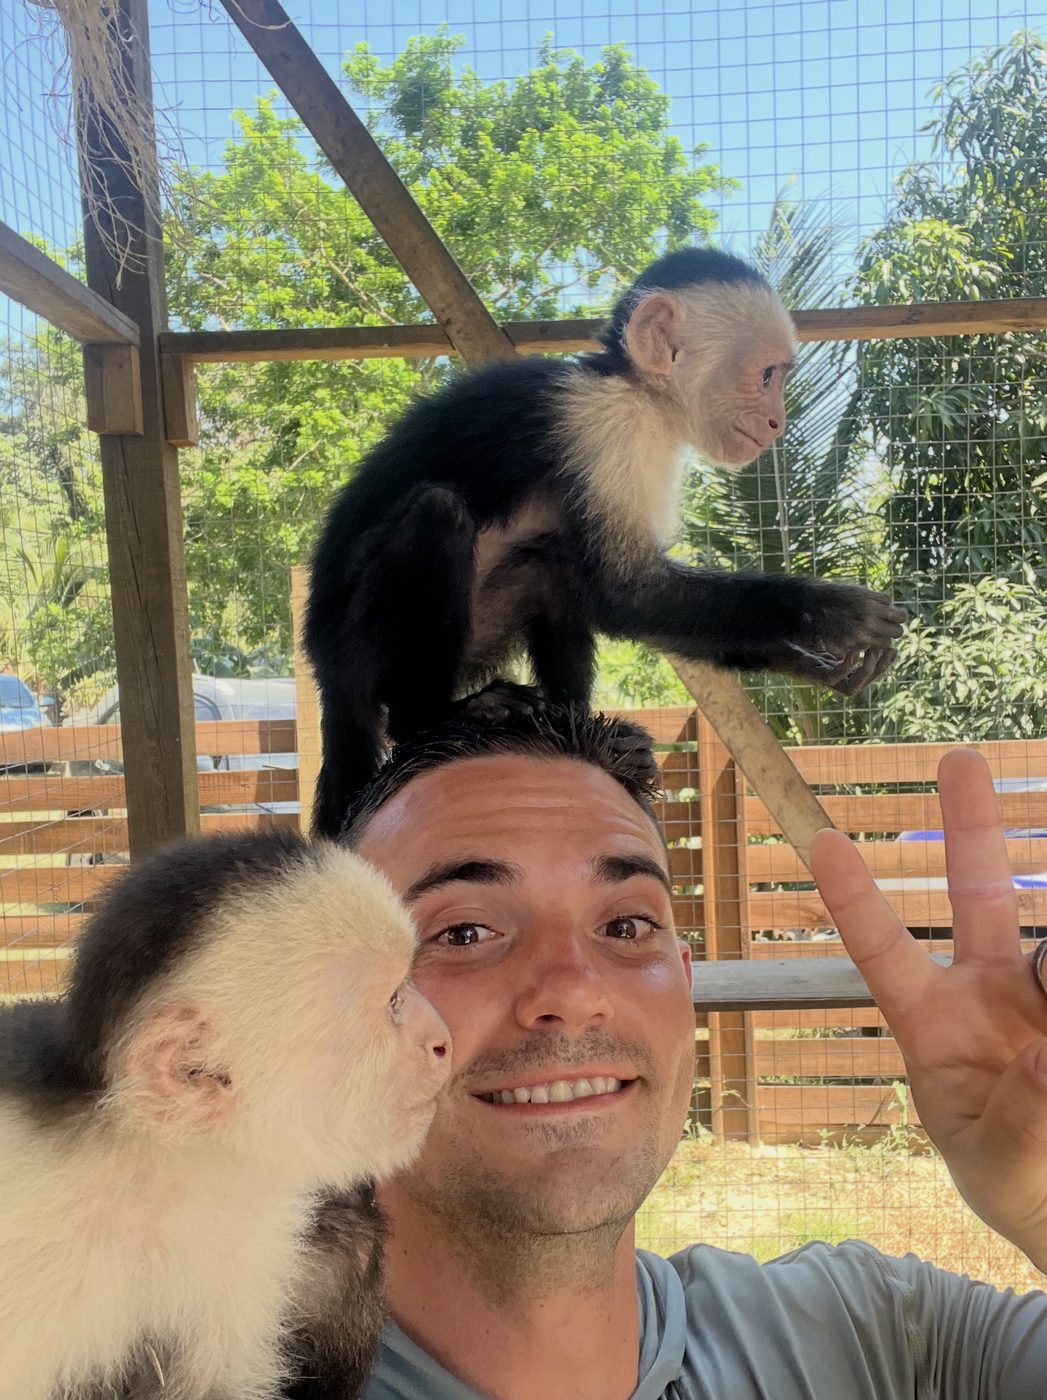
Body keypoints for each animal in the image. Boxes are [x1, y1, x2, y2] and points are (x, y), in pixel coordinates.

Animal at [305, 246, 908, 835]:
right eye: (766, 376)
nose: (777, 421)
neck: (633, 390)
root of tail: (326, 668)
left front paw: (805, 661)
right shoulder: (611, 430)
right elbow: (626, 593)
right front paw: (829, 612)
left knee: (550, 560)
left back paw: (583, 731)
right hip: (365, 644)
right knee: (439, 513)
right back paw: (432, 715)